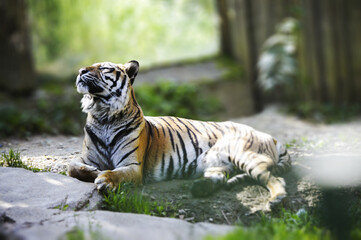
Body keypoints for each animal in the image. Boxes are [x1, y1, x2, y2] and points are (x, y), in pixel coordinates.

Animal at [67, 60, 292, 210]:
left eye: (103, 68)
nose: (80, 70)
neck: (102, 115)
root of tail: (270, 137)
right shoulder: (85, 157)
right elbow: (72, 167)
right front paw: (93, 171)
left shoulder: (133, 166)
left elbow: (115, 173)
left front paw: (104, 179)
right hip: (215, 163)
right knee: (221, 175)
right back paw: (200, 187)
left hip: (246, 155)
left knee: (275, 178)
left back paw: (276, 200)